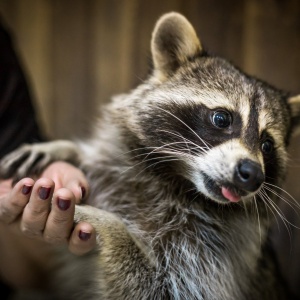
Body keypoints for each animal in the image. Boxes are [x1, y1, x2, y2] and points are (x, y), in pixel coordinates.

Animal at [0, 11, 300, 300]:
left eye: (267, 145)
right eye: (221, 118)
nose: (252, 174)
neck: (174, 179)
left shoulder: (214, 256)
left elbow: (156, 287)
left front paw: (104, 221)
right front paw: (66, 149)